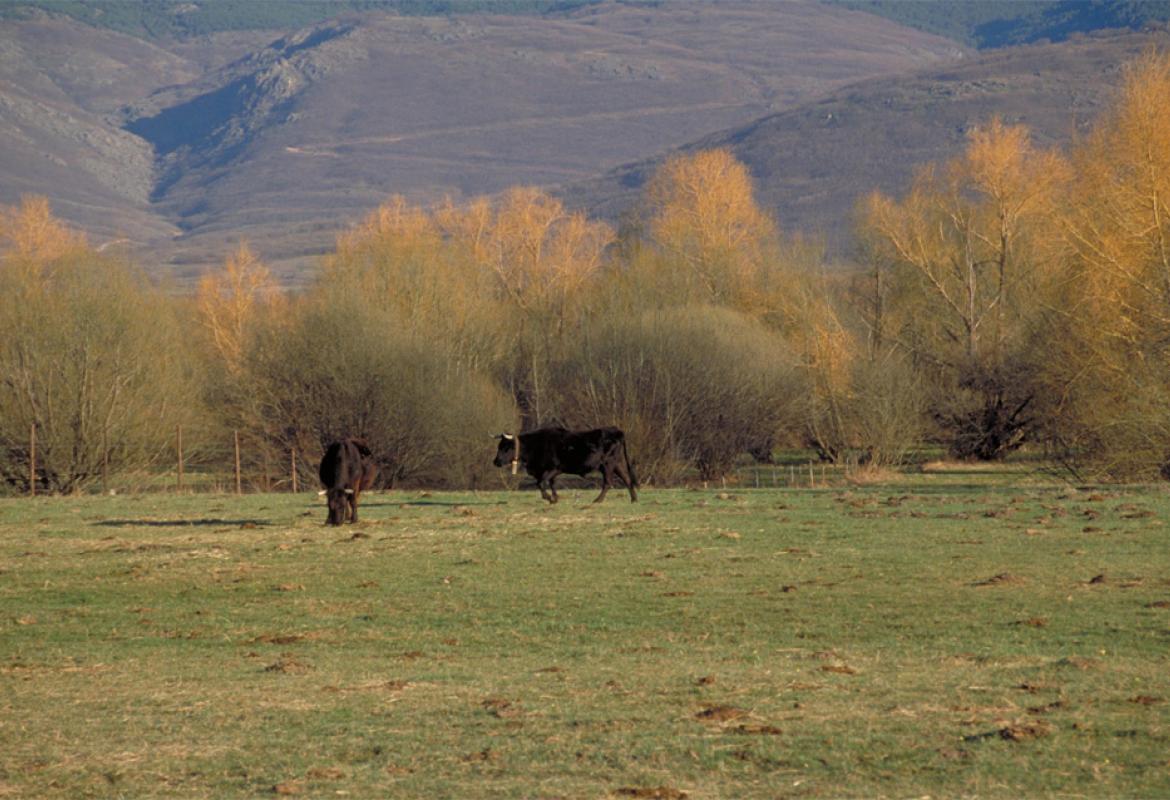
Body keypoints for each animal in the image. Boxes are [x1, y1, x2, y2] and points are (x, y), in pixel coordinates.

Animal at [496, 428, 641, 502]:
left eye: (506, 448)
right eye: (499, 446)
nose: (495, 461)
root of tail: (616, 431)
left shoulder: (553, 468)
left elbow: (541, 482)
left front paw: (549, 498)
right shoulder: (551, 471)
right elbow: (550, 483)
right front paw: (555, 497)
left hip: (607, 465)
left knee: (608, 482)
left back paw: (597, 500)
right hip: (617, 464)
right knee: (627, 479)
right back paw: (634, 499)